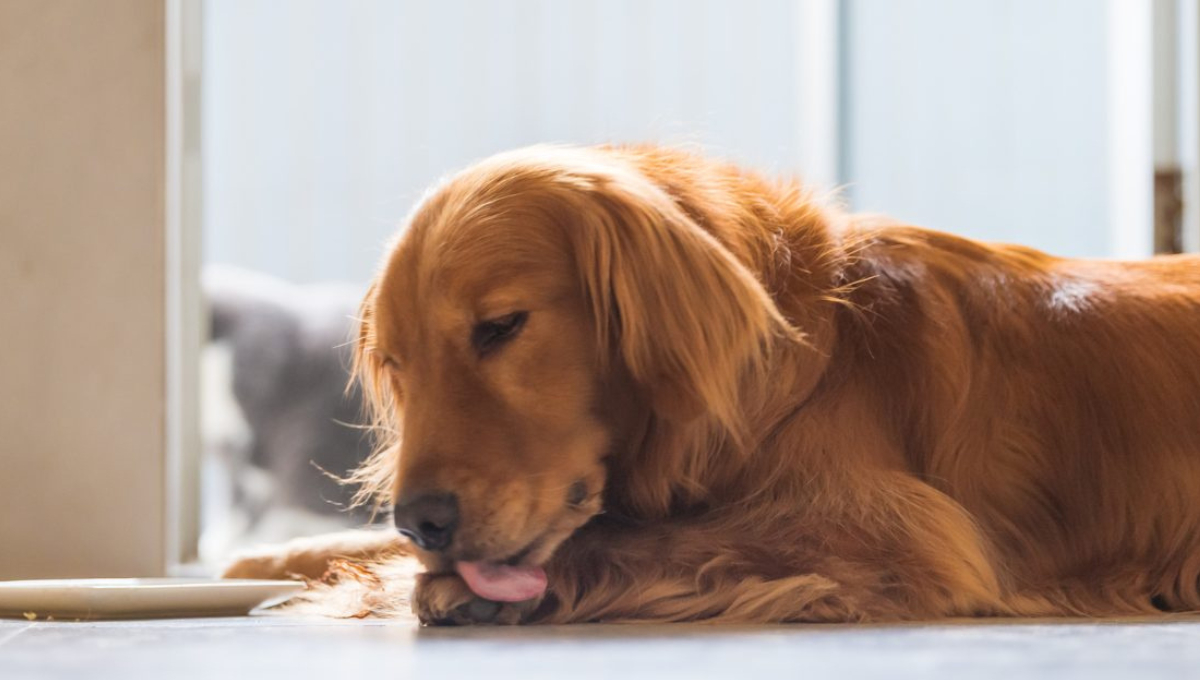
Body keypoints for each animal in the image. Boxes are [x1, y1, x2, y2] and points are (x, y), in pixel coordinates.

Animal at [225, 145, 1200, 628]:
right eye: (396, 363)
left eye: (499, 328)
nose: (422, 519)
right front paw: (275, 560)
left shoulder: (900, 529)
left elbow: (662, 538)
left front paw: (436, 585)